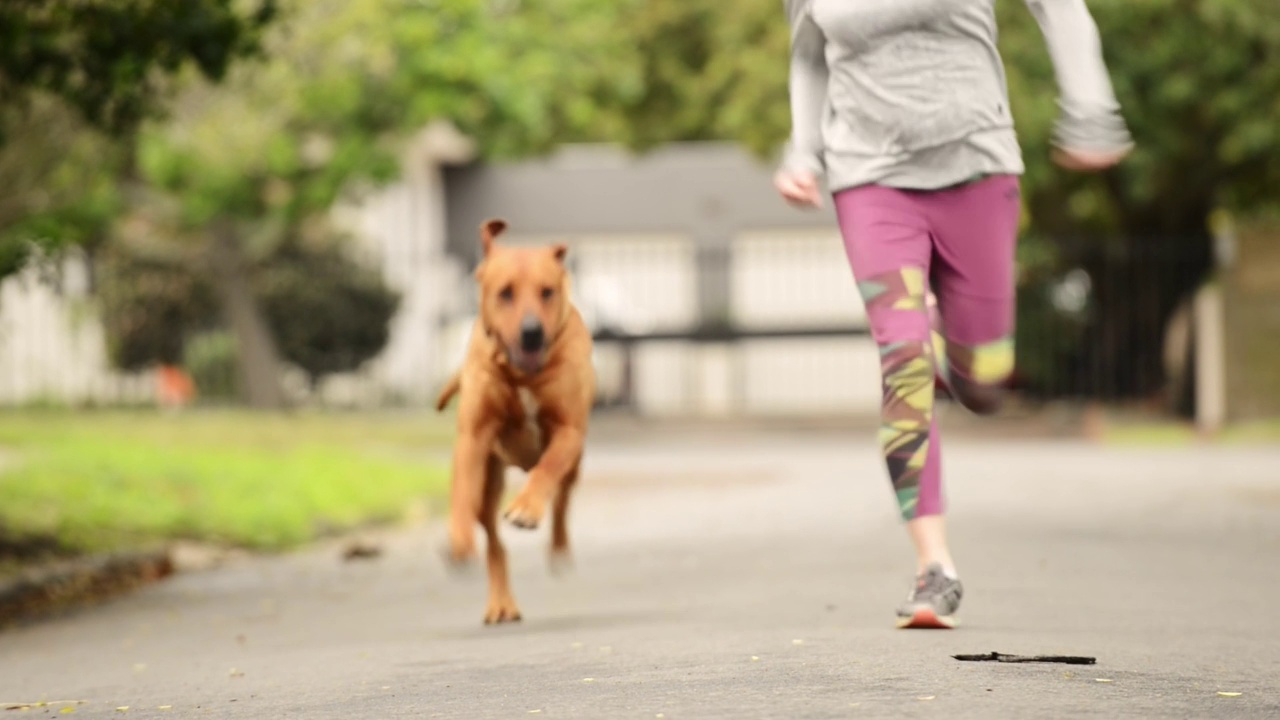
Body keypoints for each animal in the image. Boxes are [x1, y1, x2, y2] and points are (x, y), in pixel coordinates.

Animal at [437, 215, 596, 620]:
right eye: (505, 293)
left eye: (547, 292)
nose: (531, 332)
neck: (522, 373)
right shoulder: (474, 435)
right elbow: (461, 490)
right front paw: (458, 538)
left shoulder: (569, 431)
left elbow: (549, 466)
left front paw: (526, 508)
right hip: (490, 481)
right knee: (494, 542)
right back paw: (500, 604)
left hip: (576, 465)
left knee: (562, 500)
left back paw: (558, 548)